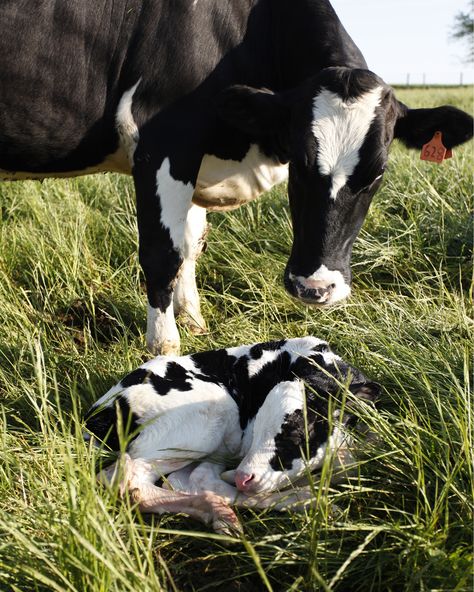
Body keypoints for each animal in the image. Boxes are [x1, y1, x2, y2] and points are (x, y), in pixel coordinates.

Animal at [1, 0, 472, 354]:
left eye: (377, 174)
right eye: (301, 162)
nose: (315, 288)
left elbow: (190, 244)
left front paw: (193, 321)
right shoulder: (163, 138)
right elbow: (162, 253)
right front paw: (164, 347)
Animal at [85, 336, 380, 536]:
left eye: (297, 429)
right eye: (258, 424)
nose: (243, 477)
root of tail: (96, 416)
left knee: (186, 480)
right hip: (205, 420)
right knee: (129, 482)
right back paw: (306, 499)